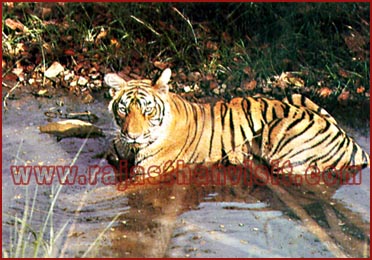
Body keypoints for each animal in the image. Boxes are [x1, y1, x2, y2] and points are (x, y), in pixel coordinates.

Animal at [104, 68, 370, 179]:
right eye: (124, 109)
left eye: (148, 110)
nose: (132, 135)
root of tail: (352, 143)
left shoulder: (148, 170)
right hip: (295, 96)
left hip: (280, 136)